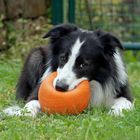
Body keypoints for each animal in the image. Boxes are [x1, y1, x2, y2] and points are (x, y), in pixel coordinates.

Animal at [3, 23, 134, 117]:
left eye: (83, 65)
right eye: (62, 58)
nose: (59, 87)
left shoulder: (122, 92)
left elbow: (123, 103)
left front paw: (115, 113)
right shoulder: (38, 90)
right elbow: (31, 103)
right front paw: (24, 113)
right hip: (35, 56)